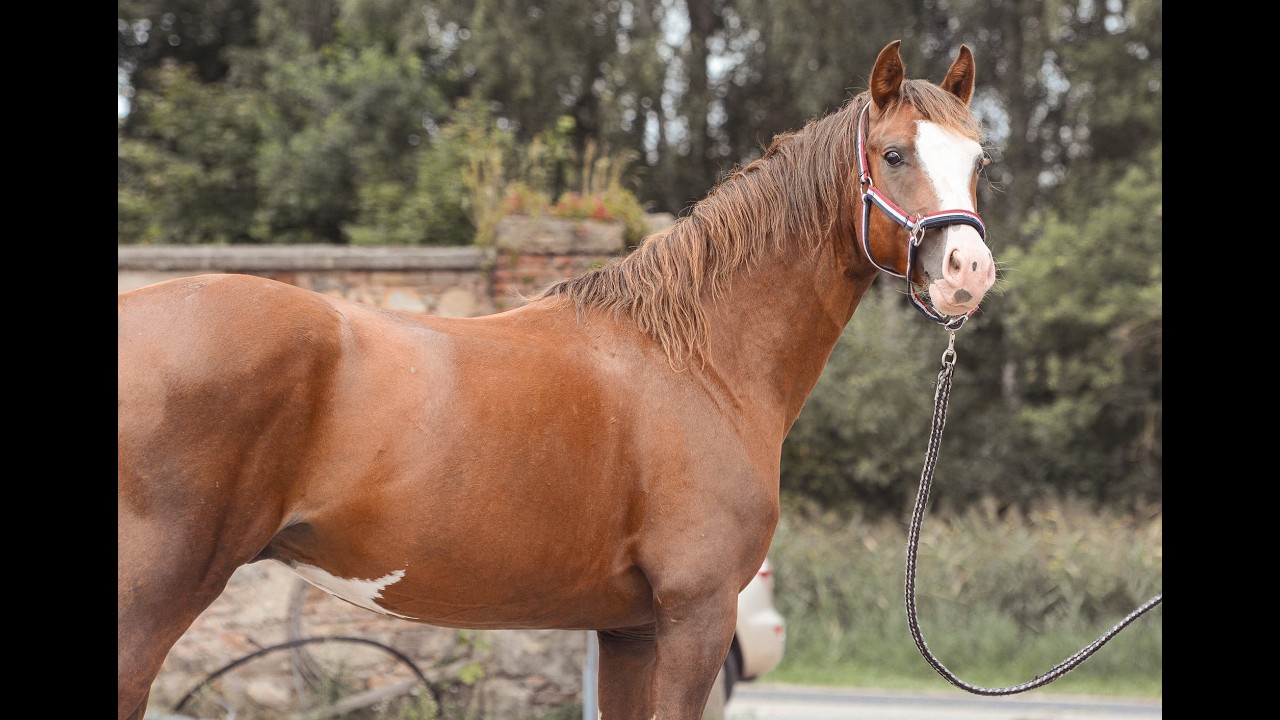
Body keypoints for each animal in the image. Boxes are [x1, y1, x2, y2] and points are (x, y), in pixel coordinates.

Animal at [118, 39, 996, 720]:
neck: (697, 360)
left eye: (979, 161)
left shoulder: (630, 629)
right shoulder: (695, 618)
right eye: (894, 155)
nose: (969, 270)